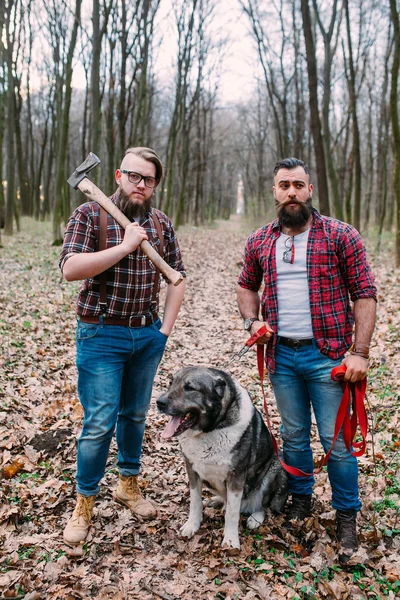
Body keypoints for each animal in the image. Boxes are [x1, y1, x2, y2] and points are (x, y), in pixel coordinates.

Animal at [156, 366, 288, 548]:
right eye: (170, 383)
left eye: (189, 388)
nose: (159, 402)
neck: (211, 429)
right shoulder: (192, 469)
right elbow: (195, 501)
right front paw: (192, 525)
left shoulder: (236, 476)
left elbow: (232, 514)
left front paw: (230, 541)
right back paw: (218, 500)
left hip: (277, 468)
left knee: (265, 506)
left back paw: (255, 518)